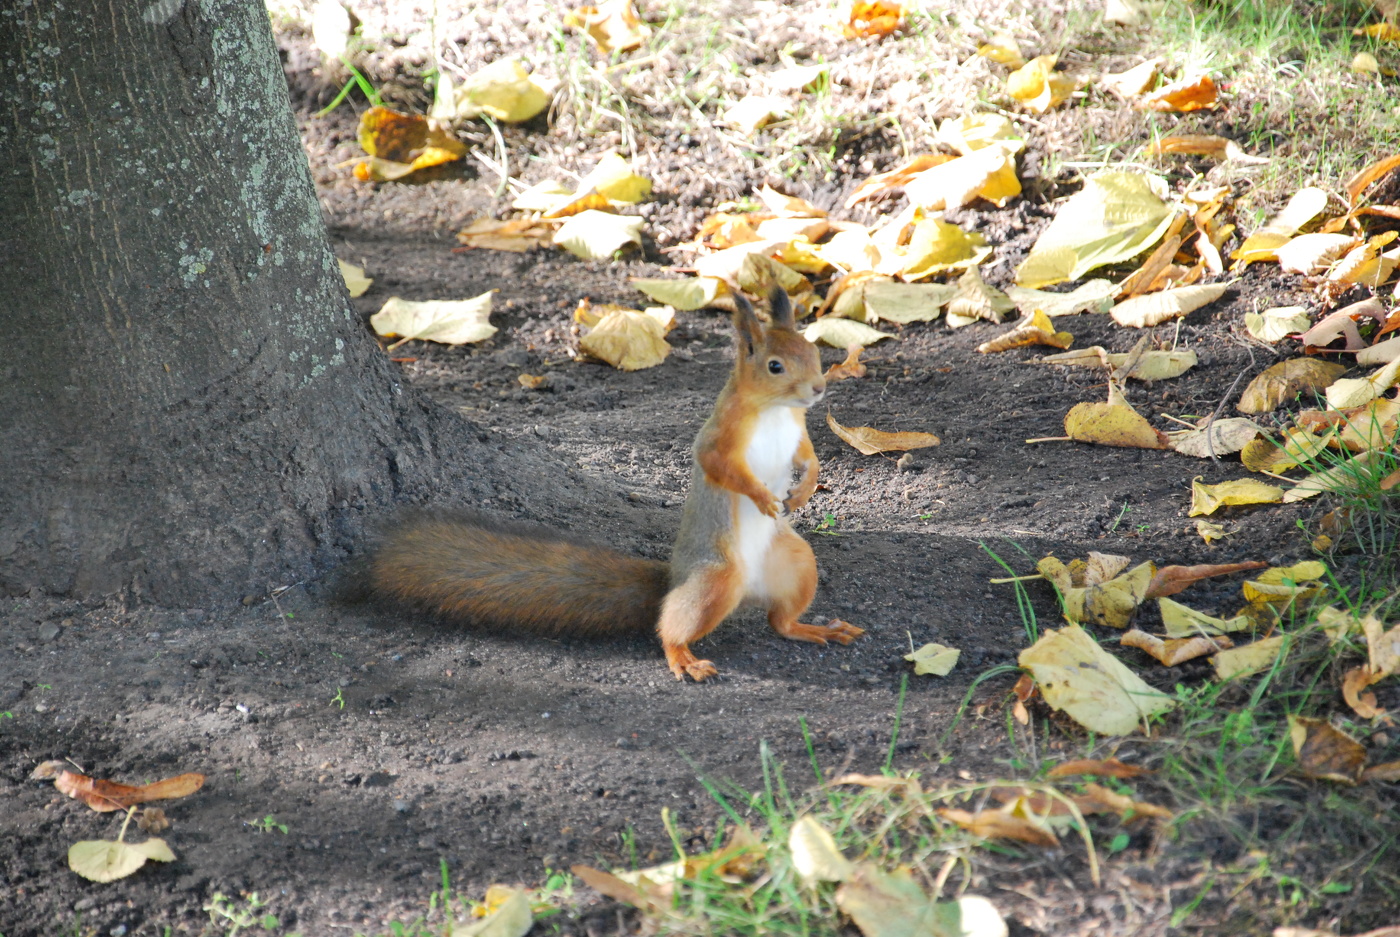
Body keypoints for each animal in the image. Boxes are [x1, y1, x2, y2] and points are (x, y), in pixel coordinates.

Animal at [366, 287, 864, 681]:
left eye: (815, 353)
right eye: (775, 366)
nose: (818, 389)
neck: (775, 411)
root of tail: (676, 577)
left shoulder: (798, 431)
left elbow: (808, 458)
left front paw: (804, 487)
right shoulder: (720, 437)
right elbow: (720, 467)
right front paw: (762, 496)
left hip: (796, 564)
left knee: (780, 621)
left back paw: (812, 627)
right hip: (715, 579)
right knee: (669, 626)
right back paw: (682, 656)